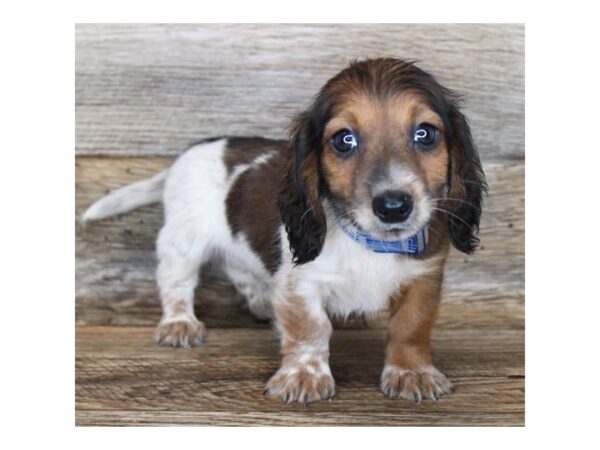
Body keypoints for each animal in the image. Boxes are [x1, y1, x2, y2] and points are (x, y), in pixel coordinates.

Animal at [83, 58, 488, 406]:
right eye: (344, 140)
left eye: (426, 134)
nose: (393, 206)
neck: (369, 243)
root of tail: (196, 148)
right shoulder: (301, 282)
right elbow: (311, 327)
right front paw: (304, 376)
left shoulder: (424, 277)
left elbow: (410, 326)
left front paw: (411, 373)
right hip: (183, 243)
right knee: (176, 284)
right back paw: (179, 323)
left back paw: (263, 302)